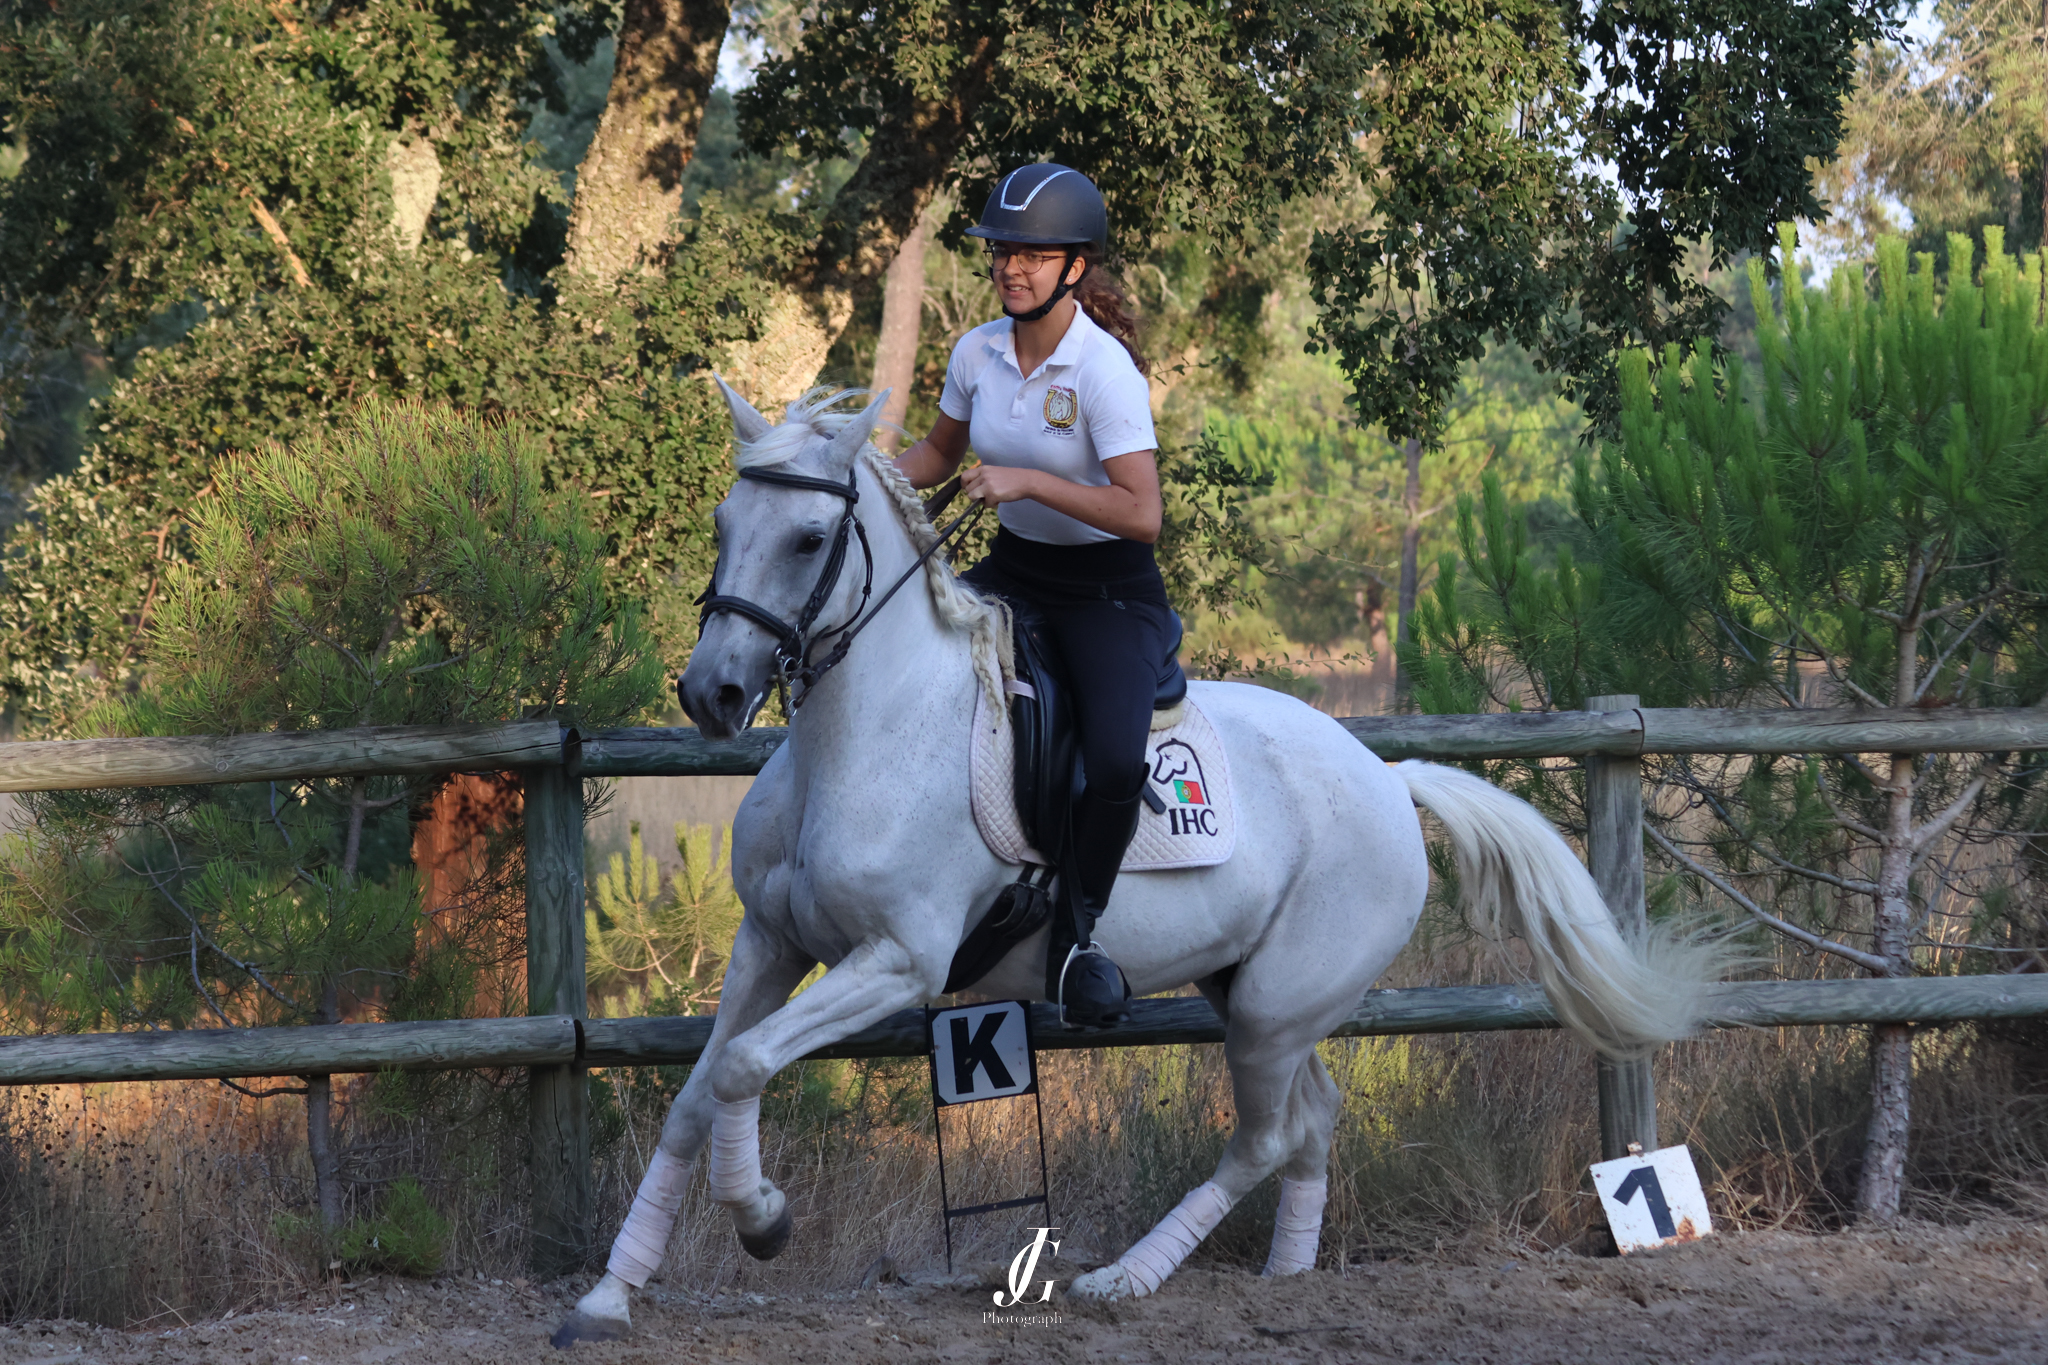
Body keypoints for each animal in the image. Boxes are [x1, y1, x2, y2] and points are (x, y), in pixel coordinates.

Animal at [551, 384, 1718, 1345]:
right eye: (723, 524)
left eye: (805, 538)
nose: (710, 693)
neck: (870, 732)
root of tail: (1391, 778)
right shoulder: (770, 939)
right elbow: (698, 1092)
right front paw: (609, 1295)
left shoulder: (896, 961)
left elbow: (745, 1067)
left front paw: (762, 1220)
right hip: (1257, 993)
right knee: (1312, 1118)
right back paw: (1288, 1276)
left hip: (1273, 1007)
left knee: (1263, 1137)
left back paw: (1125, 1278)